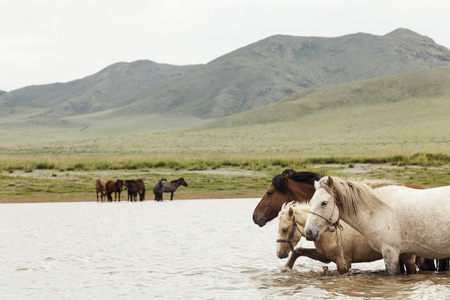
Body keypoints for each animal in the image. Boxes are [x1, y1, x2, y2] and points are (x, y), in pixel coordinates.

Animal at [278, 202, 418, 274]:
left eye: (284, 229)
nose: (279, 253)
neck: (328, 231)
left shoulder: (343, 263)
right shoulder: (324, 256)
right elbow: (298, 251)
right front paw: (287, 267)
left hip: (408, 256)